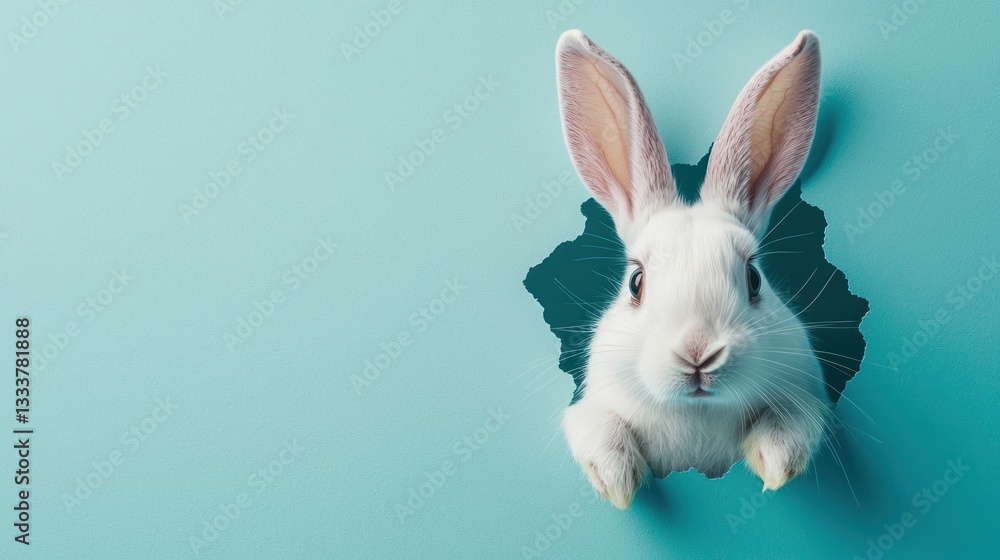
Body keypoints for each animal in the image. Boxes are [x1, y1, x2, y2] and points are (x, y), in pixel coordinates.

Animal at [556, 29, 829, 509]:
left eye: (754, 278)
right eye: (636, 282)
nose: (697, 352)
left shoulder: (804, 394)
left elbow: (795, 419)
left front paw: (777, 461)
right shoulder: (590, 406)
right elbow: (596, 425)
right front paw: (617, 479)